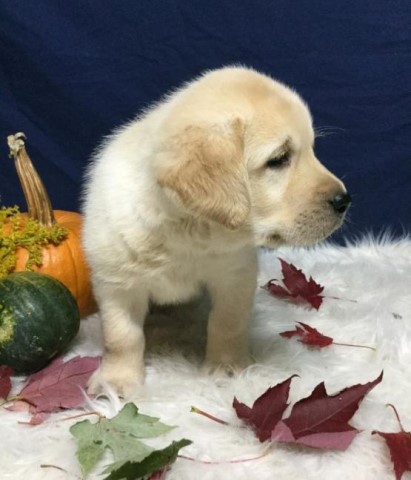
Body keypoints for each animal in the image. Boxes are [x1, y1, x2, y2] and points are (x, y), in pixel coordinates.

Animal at [83, 67, 350, 398]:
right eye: (279, 159)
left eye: (311, 150)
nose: (344, 200)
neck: (187, 230)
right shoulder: (116, 284)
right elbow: (121, 337)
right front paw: (116, 382)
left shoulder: (234, 275)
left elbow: (226, 322)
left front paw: (228, 367)